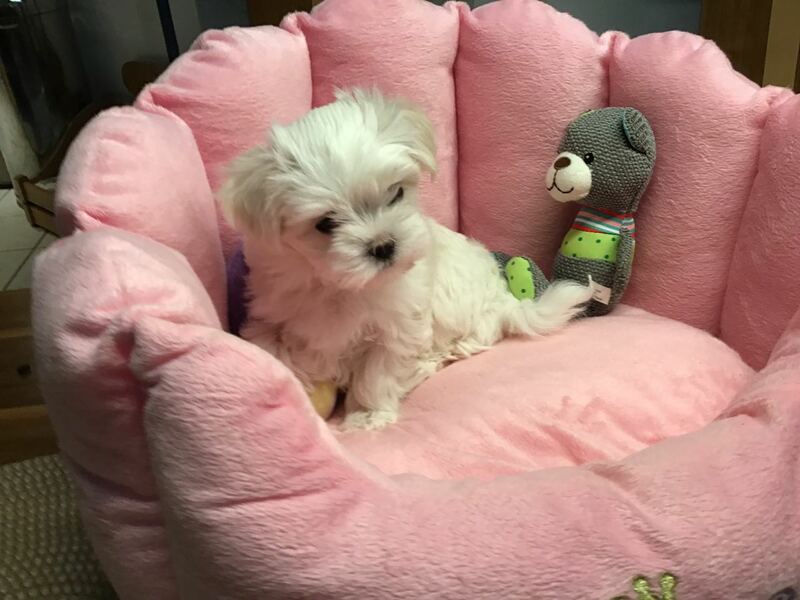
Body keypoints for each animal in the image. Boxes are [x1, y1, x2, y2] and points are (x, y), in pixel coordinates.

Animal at [220, 88, 592, 430]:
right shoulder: (273, 303)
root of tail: (505, 300)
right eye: (325, 223)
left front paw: (367, 415)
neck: (339, 285)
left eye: (396, 193)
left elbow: (378, 371)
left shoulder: (399, 324)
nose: (383, 245)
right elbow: (269, 343)